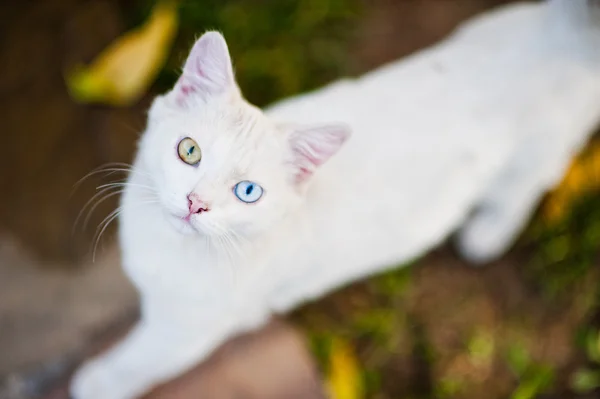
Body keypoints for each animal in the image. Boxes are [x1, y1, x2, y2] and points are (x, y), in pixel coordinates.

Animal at [72, 1, 600, 398]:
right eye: (189, 151)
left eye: (248, 192)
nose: (195, 202)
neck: (169, 248)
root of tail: (569, 26)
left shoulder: (188, 329)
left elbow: (140, 360)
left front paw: (98, 383)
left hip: (538, 153)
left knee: (531, 182)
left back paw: (488, 233)